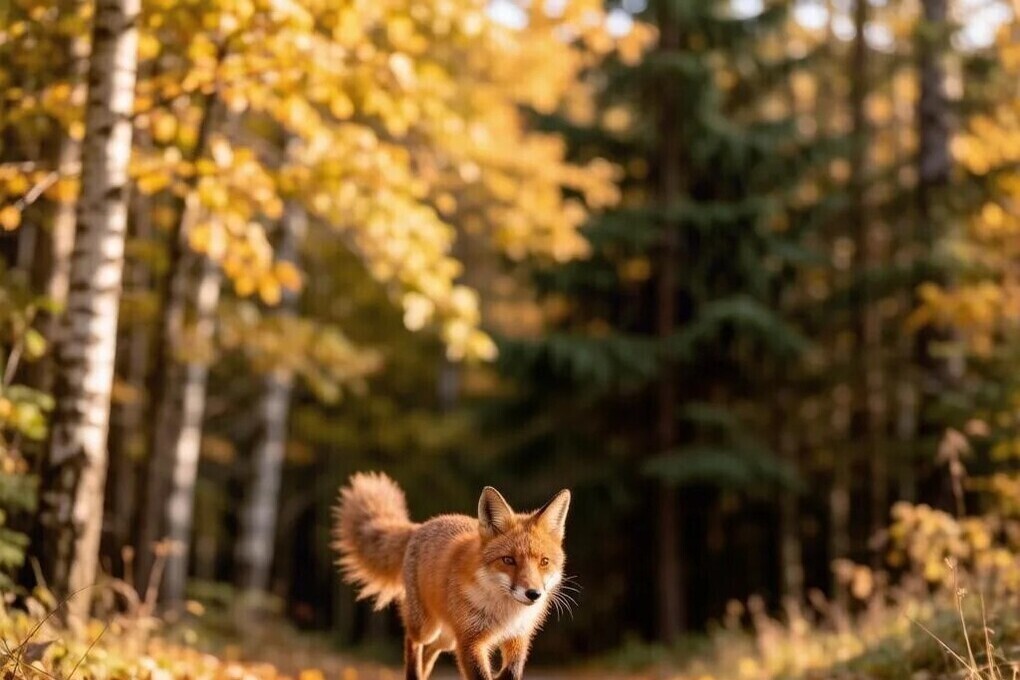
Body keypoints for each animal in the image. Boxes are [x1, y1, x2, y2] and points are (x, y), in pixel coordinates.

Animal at [333, 472, 573, 680]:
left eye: (544, 562)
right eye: (508, 560)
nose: (533, 594)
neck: (504, 613)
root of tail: (419, 526)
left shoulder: (518, 637)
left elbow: (512, 671)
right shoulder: (469, 641)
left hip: (447, 637)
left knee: (430, 650)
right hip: (426, 627)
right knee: (413, 641)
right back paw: (414, 674)